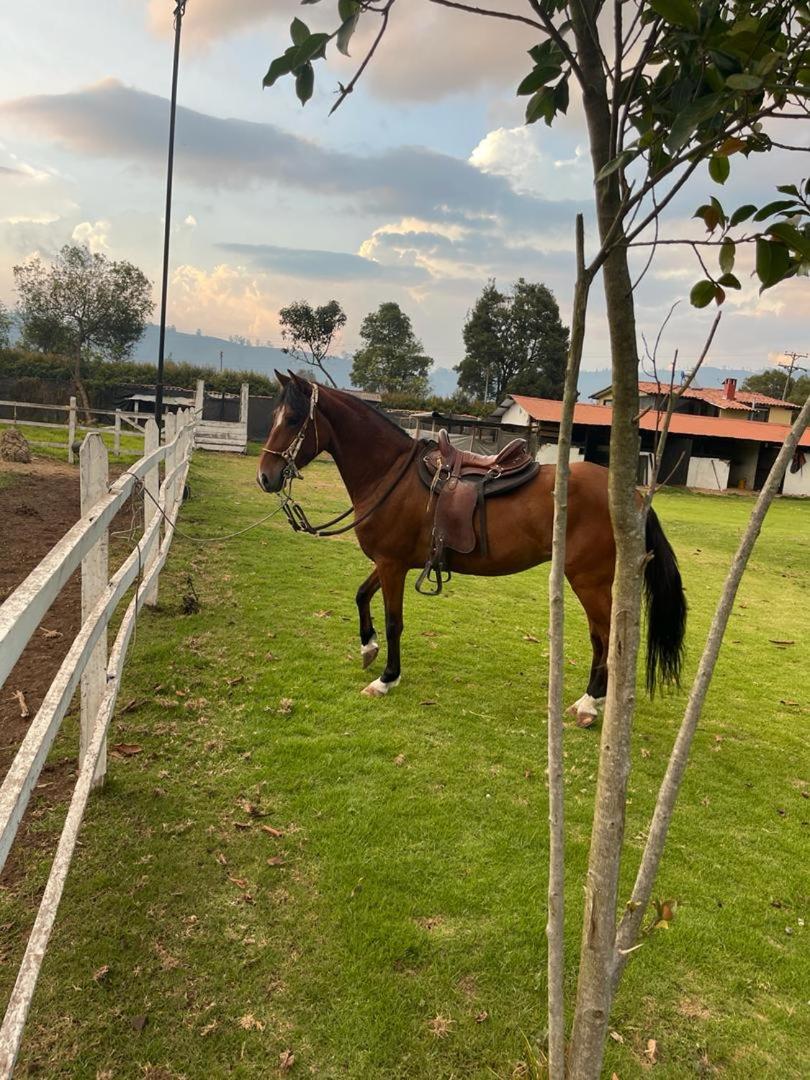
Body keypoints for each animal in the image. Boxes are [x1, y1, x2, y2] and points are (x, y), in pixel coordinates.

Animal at [257, 372, 686, 726]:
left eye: (292, 420)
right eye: (274, 415)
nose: (265, 476)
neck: (390, 475)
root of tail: (633, 498)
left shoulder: (392, 564)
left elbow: (395, 622)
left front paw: (387, 679)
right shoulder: (392, 562)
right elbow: (362, 595)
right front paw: (368, 647)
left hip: (589, 581)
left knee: (606, 638)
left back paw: (589, 704)